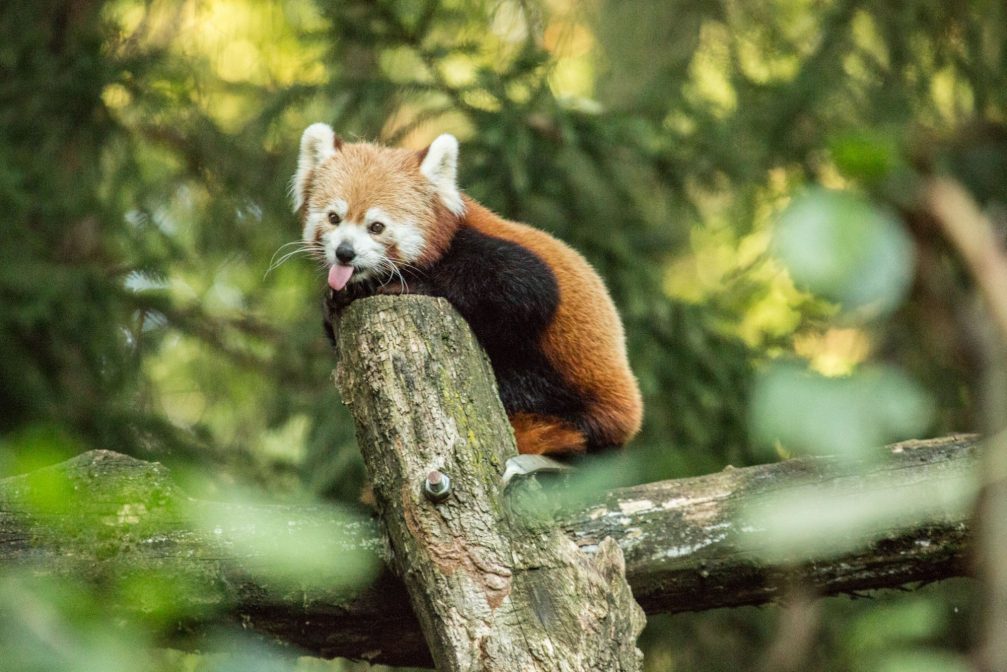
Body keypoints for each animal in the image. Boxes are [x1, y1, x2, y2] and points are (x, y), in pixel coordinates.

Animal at [292, 122, 640, 455]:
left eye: (376, 227)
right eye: (334, 218)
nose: (345, 253)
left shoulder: (501, 259)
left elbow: (524, 290)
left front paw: (399, 283)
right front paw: (338, 298)